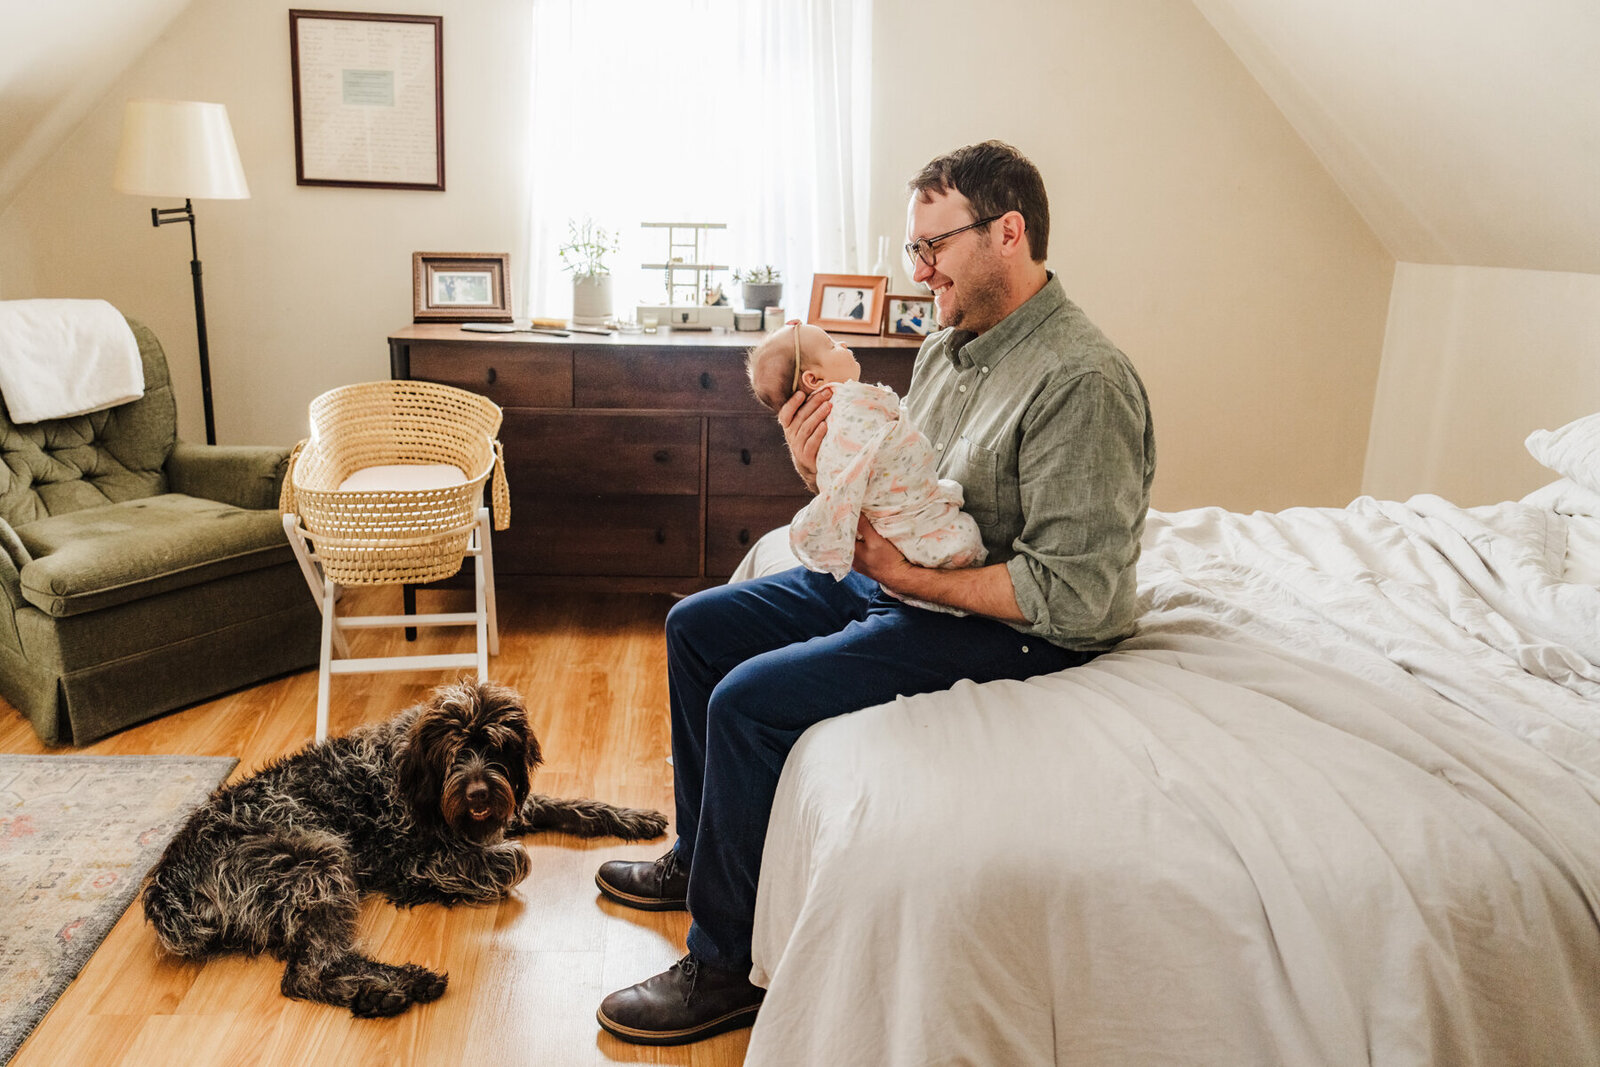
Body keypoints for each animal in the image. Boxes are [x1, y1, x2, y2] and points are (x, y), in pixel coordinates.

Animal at [139, 684, 662, 1017]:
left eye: (494, 749)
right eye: (454, 754)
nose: (477, 793)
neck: (415, 776)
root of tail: (168, 883)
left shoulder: (507, 803)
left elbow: (568, 805)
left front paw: (630, 816)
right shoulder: (409, 860)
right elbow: (514, 857)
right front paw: (493, 864)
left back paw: (380, 992)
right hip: (317, 860)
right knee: (309, 973)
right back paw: (397, 986)